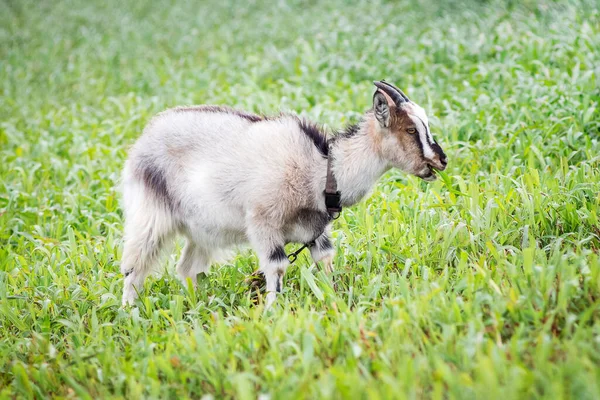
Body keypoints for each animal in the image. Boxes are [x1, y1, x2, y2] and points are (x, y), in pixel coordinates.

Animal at [122, 81, 448, 306]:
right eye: (410, 130)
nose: (441, 160)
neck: (319, 167)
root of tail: (145, 137)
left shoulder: (316, 230)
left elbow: (326, 261)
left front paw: (335, 299)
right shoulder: (263, 222)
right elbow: (277, 266)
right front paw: (271, 312)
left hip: (201, 230)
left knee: (187, 268)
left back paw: (196, 304)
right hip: (150, 214)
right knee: (133, 268)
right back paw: (130, 312)